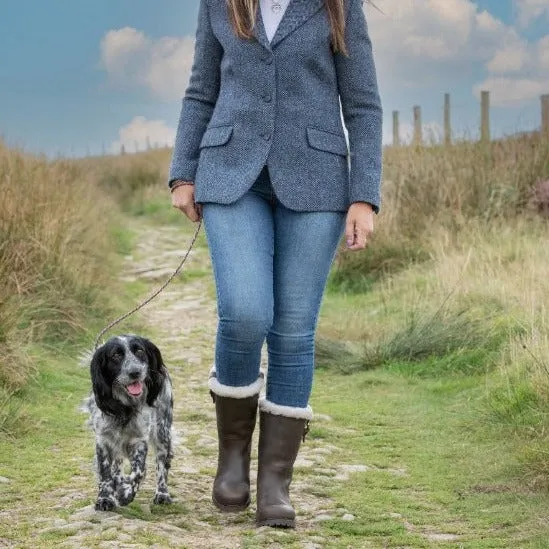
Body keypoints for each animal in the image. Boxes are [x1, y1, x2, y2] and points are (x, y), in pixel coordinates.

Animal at [83, 334, 172, 510]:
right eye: (116, 355)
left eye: (140, 351)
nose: (135, 372)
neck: (124, 408)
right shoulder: (103, 440)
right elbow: (105, 472)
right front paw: (105, 498)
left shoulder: (139, 440)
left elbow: (139, 472)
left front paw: (125, 493)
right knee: (116, 465)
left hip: (162, 432)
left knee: (162, 463)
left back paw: (162, 493)